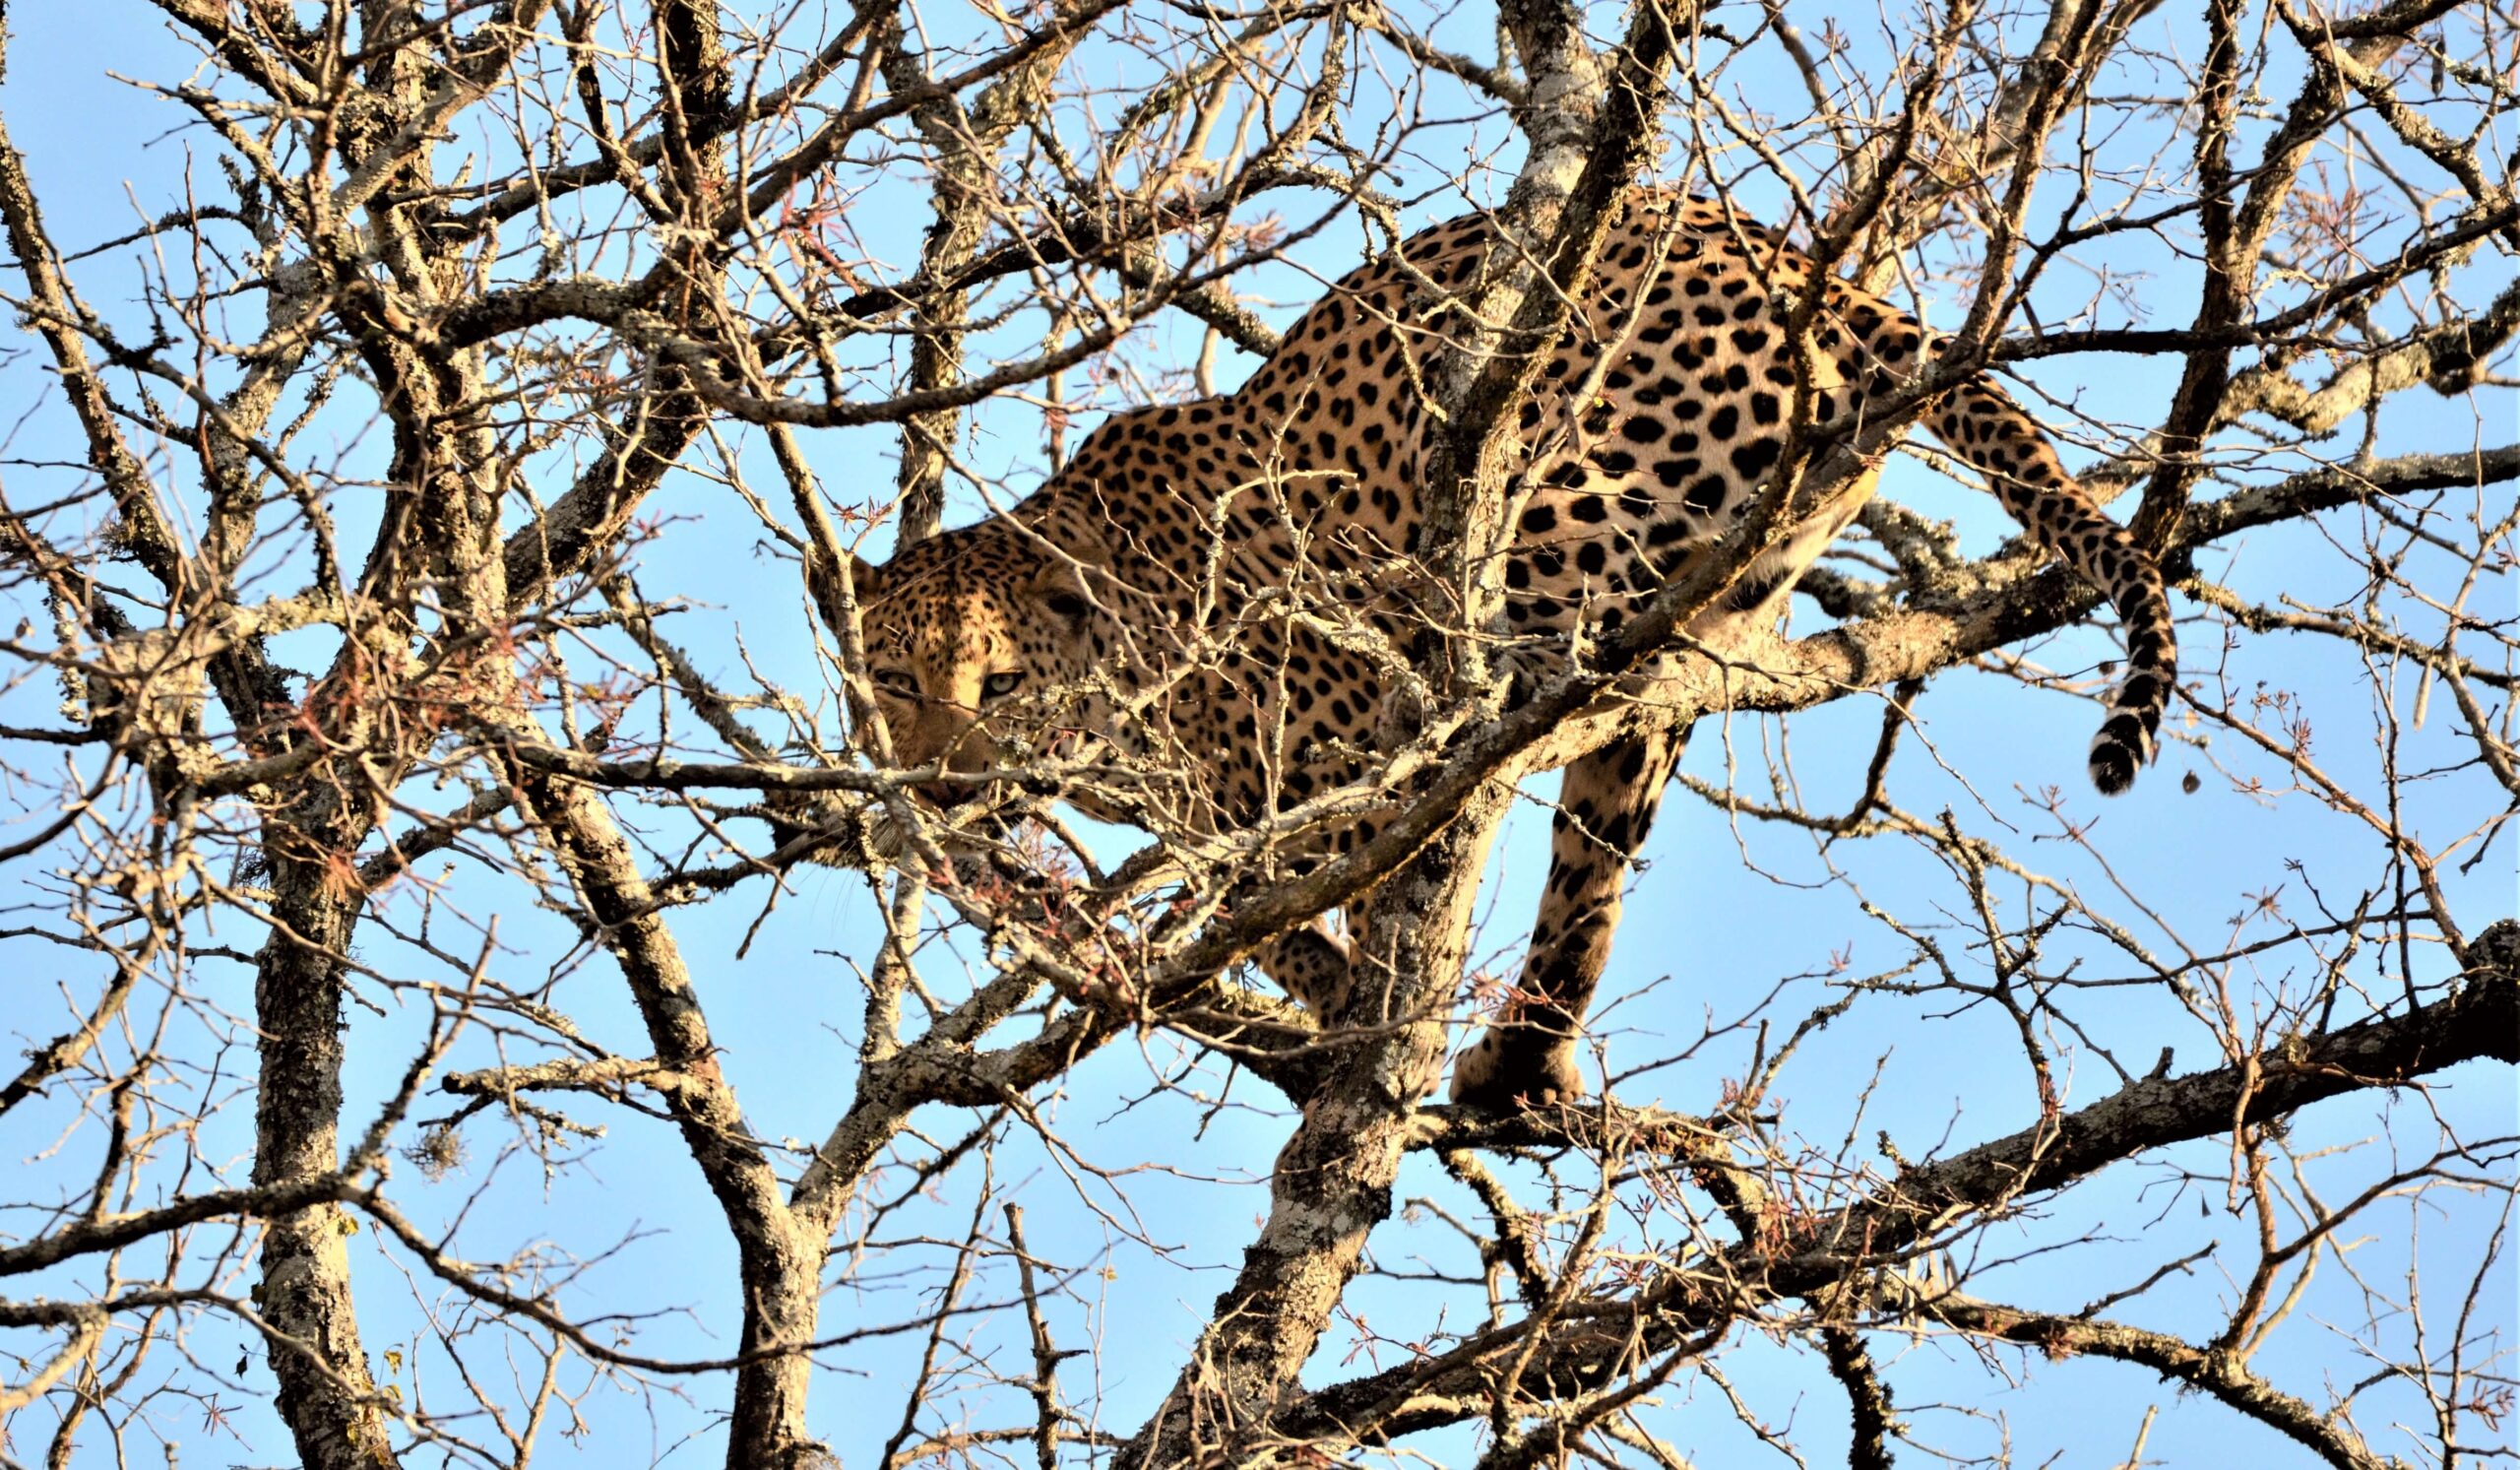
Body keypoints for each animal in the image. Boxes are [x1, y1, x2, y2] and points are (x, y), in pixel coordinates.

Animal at [850, 190, 2178, 1109]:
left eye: (999, 684)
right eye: (897, 682)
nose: (942, 786)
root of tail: (1806, 269)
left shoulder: (1308, 772)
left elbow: (1294, 896)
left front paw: (1342, 997)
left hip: (1541, 508)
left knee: (1508, 694)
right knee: (1596, 852)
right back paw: (1521, 1058)